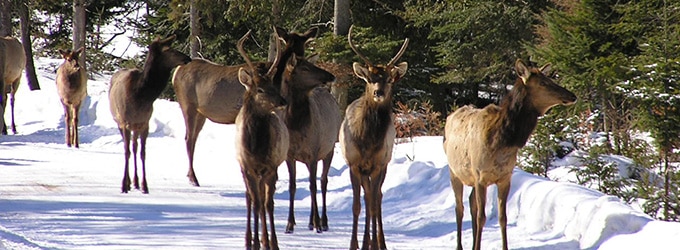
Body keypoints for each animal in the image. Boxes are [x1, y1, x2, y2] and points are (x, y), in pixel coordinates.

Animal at [108, 34, 191, 193]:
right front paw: (123, 185)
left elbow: (142, 153)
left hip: (136, 126)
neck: (141, 97)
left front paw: (145, 185)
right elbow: (126, 151)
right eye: (169, 49)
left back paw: (135, 182)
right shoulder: (124, 122)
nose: (188, 58)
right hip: (119, 123)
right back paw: (129, 182)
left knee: (134, 147)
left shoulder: (145, 123)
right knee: (129, 148)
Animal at [340, 25, 410, 250]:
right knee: (368, 195)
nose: (378, 92)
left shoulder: (379, 163)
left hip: (383, 165)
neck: (368, 141)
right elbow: (356, 205)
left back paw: (378, 242)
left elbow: (372, 205)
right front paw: (354, 244)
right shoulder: (354, 163)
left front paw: (371, 243)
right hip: (364, 171)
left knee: (376, 197)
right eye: (370, 79)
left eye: (389, 79)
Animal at [444, 59, 576, 250]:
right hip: (454, 172)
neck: (502, 142)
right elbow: (482, 217)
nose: (572, 95)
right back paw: (460, 246)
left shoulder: (505, 177)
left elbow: (502, 218)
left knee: (471, 203)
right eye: (543, 83)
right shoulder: (481, 177)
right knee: (459, 208)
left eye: (549, 79)